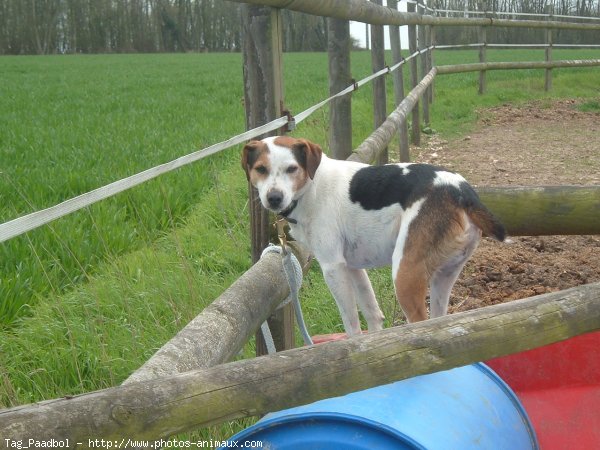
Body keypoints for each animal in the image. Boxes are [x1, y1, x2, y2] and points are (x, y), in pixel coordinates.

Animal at [241, 135, 504, 336]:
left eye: (291, 169)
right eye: (261, 169)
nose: (274, 198)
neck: (310, 187)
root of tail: (462, 192)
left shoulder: (333, 267)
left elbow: (351, 323)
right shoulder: (353, 267)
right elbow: (372, 313)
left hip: (405, 272)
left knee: (421, 322)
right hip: (445, 276)